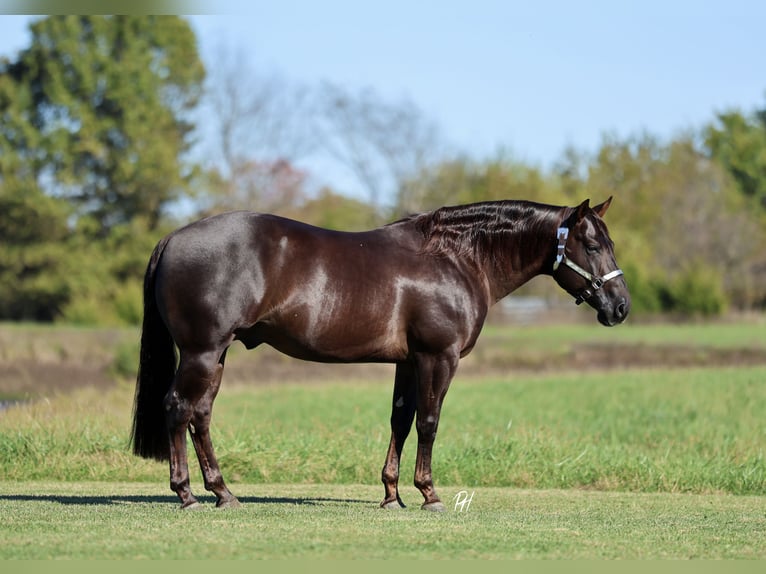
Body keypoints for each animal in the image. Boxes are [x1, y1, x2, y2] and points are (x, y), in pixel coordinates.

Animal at [130, 197, 630, 511]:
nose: (620, 307)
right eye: (591, 245)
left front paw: (393, 495)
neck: (455, 258)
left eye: (609, 243)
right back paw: (187, 495)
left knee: (200, 415)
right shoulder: (438, 357)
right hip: (201, 351)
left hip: (216, 356)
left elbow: (401, 421)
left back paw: (223, 493)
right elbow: (429, 422)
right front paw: (429, 494)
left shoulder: (408, 362)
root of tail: (173, 238)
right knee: (178, 408)